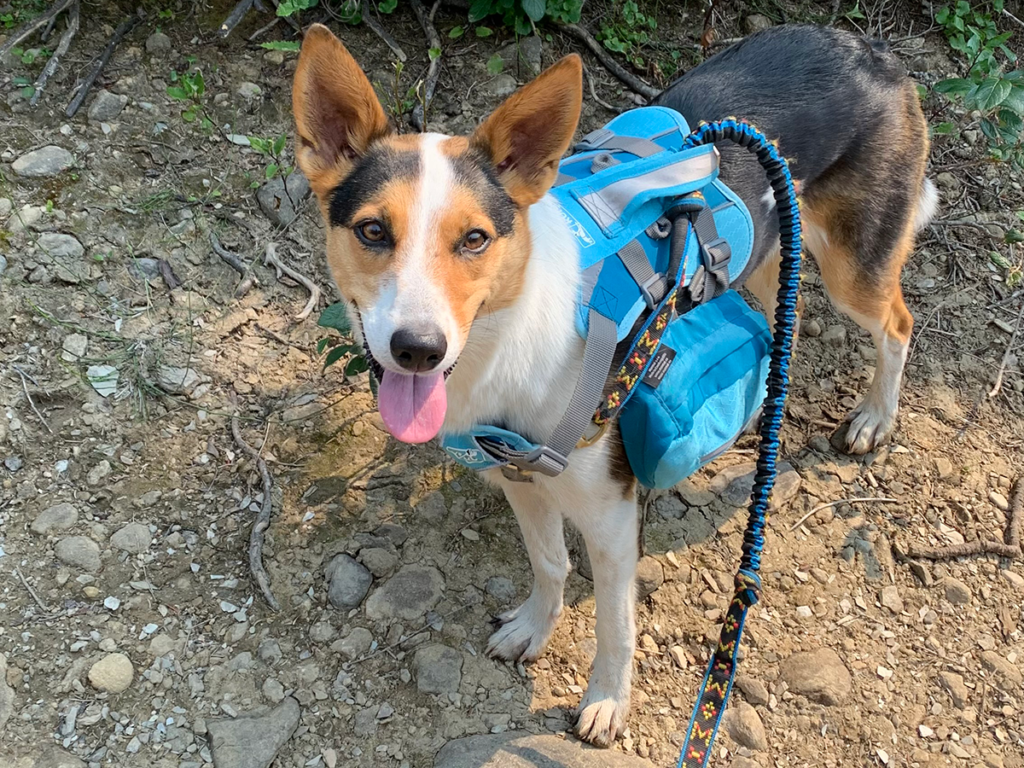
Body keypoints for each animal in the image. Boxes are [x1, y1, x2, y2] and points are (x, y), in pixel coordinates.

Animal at [292, 22, 933, 745]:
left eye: (475, 239)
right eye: (373, 230)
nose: (417, 350)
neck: (511, 335)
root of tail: (870, 50)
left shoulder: (609, 511)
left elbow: (614, 623)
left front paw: (606, 701)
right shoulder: (519, 476)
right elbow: (549, 564)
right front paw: (533, 628)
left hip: (855, 267)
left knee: (897, 325)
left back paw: (874, 417)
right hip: (776, 241)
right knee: (778, 309)